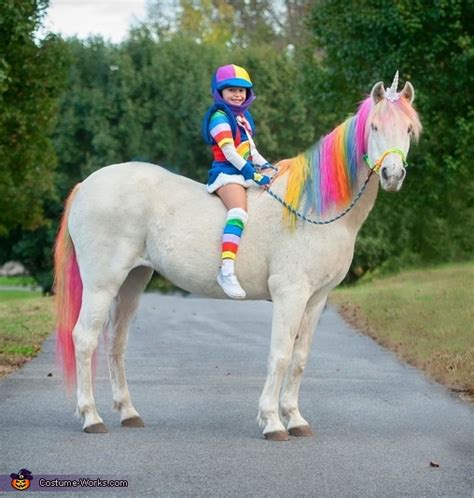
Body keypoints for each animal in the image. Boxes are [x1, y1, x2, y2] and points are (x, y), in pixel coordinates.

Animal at [55, 73, 422, 440]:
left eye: (408, 129)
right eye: (374, 126)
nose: (392, 175)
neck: (311, 209)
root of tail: (87, 184)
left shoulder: (316, 299)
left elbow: (300, 358)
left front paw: (295, 418)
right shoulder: (290, 294)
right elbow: (280, 354)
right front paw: (272, 421)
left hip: (132, 281)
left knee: (116, 342)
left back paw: (128, 412)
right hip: (102, 284)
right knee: (85, 338)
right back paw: (91, 416)